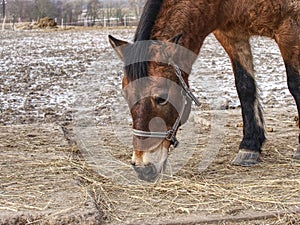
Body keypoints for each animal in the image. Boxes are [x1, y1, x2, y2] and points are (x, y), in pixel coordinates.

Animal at [108, 0, 300, 182]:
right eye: (125, 95)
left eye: (161, 98)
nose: (143, 168)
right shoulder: (232, 36)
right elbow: (245, 86)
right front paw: (250, 146)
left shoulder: (290, 30)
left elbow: (295, 85)